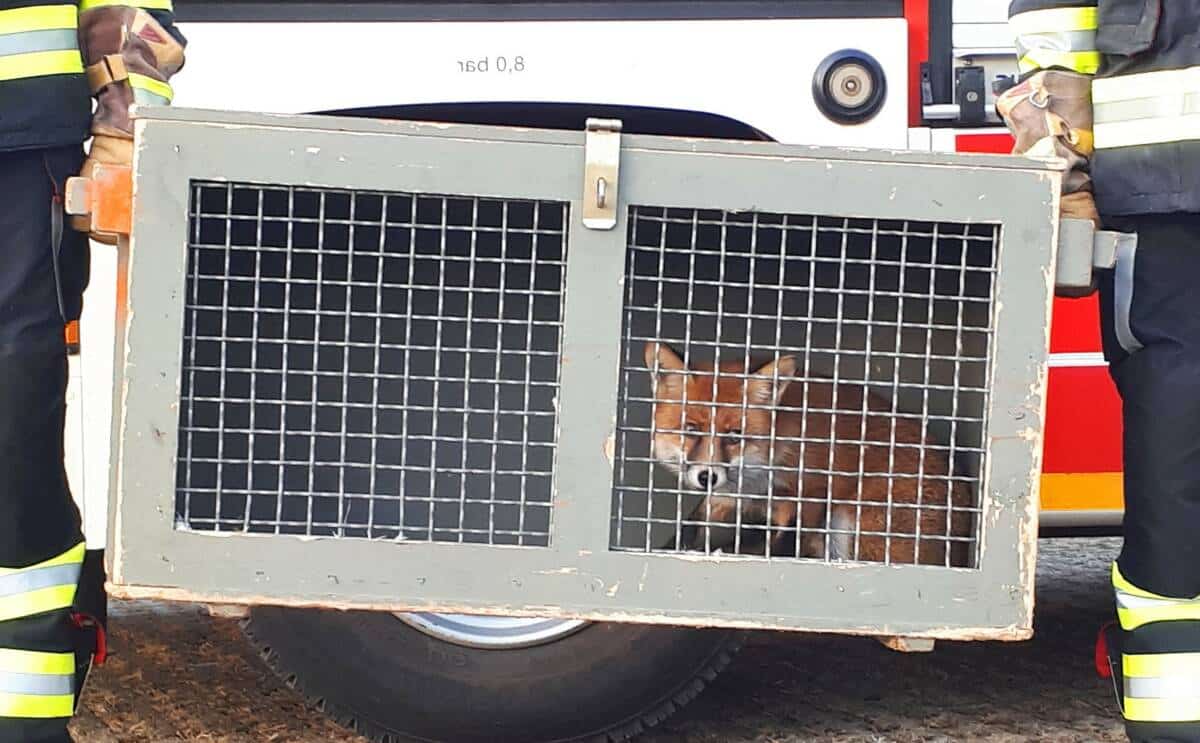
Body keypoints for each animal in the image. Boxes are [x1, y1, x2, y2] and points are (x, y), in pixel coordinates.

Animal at [643, 341, 973, 567]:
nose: (707, 476)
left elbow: (787, 542)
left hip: (852, 519)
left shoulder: (812, 490)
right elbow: (695, 525)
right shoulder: (731, 498)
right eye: (691, 429)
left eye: (735, 436)